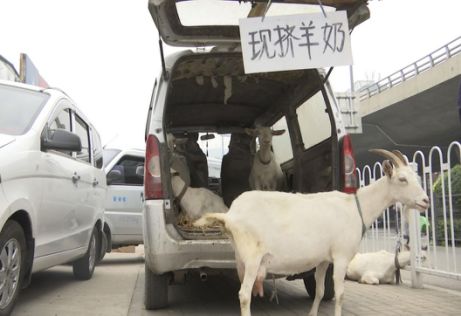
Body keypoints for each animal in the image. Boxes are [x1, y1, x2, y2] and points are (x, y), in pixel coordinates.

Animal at [193, 150, 428, 316]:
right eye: (402, 179)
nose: (425, 201)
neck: (356, 207)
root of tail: (231, 214)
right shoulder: (341, 257)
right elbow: (340, 295)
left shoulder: (324, 260)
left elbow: (321, 291)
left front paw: (312, 313)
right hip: (252, 258)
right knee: (243, 294)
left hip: (241, 259)